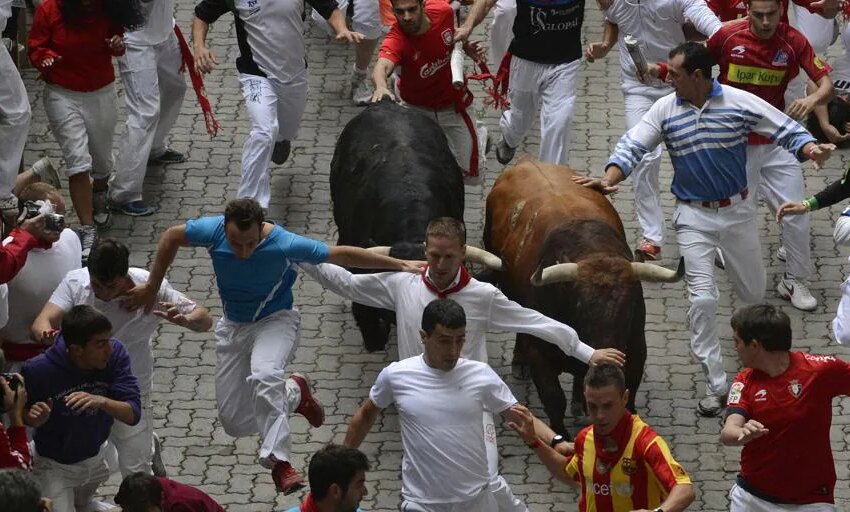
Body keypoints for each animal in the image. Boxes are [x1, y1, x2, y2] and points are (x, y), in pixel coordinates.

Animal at [480, 158, 680, 434]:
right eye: (580, 308)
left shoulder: (637, 349)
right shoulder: (539, 353)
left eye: (629, 309)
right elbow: (554, 398)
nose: (607, 363)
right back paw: (520, 363)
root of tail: (527, 161)